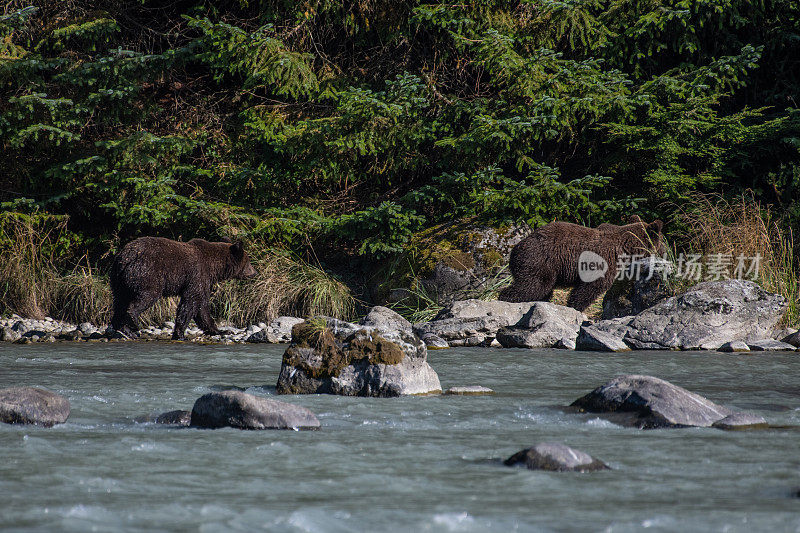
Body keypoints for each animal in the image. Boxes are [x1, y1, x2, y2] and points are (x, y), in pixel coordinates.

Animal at [110, 236, 256, 338]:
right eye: (248, 261)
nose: (255, 272)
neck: (214, 267)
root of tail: (127, 256)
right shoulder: (197, 275)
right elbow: (190, 303)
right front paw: (180, 333)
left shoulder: (203, 281)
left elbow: (202, 307)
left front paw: (220, 331)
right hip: (147, 273)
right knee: (146, 296)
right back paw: (134, 324)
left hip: (119, 278)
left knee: (119, 302)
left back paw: (124, 329)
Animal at [500, 214, 664, 310]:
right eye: (662, 241)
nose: (664, 250)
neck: (625, 249)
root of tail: (514, 250)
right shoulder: (602, 262)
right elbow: (590, 288)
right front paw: (576, 307)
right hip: (540, 260)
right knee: (533, 285)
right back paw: (506, 298)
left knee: (543, 290)